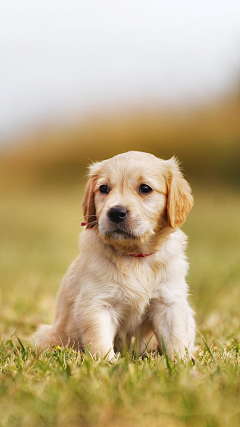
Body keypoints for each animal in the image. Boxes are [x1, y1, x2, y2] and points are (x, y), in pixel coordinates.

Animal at [34, 152, 195, 360]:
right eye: (103, 188)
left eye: (145, 188)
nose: (116, 212)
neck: (134, 256)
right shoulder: (97, 303)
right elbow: (99, 339)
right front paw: (107, 362)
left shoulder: (169, 302)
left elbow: (175, 337)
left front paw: (180, 361)